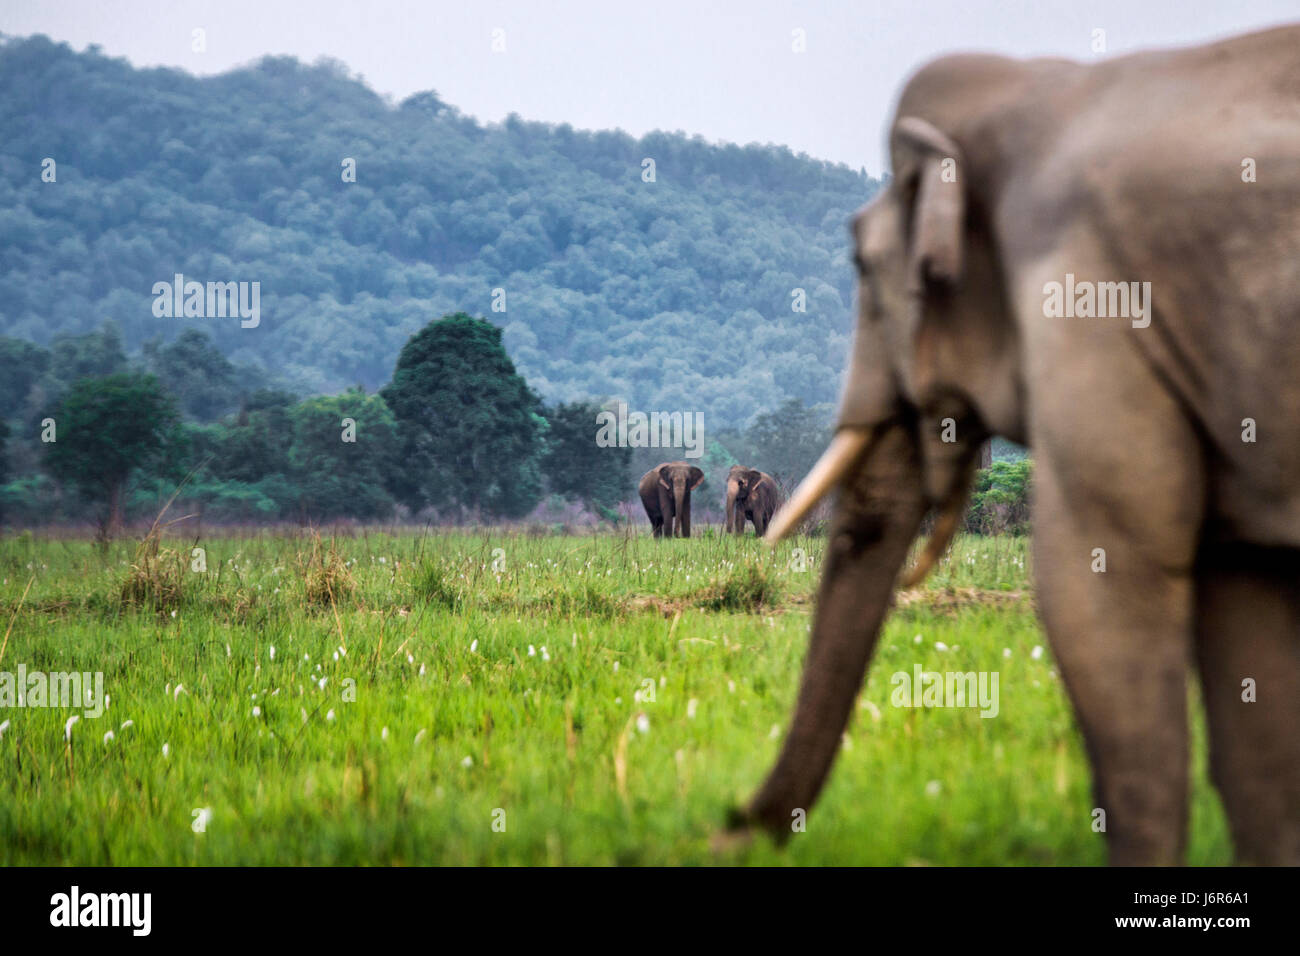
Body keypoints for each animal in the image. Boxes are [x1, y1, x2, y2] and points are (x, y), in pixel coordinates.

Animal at [728, 26, 1300, 868]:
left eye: (862, 262)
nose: (728, 821)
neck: (1039, 87)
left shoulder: (1090, 302)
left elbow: (1097, 580)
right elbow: (1247, 618)